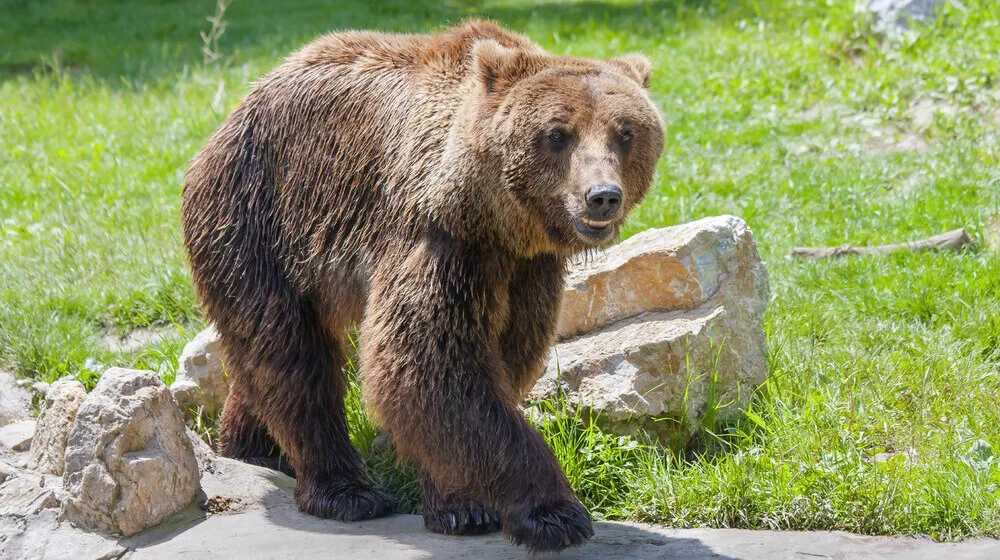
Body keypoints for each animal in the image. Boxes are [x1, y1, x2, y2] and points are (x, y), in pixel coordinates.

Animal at [182, 18, 664, 552]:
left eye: (625, 133)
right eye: (558, 134)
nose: (602, 196)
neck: (498, 221)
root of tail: (231, 116)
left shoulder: (527, 270)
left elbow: (502, 360)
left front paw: (461, 504)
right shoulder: (439, 240)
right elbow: (428, 365)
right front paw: (554, 513)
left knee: (267, 361)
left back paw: (252, 448)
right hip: (259, 220)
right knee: (291, 357)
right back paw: (345, 490)